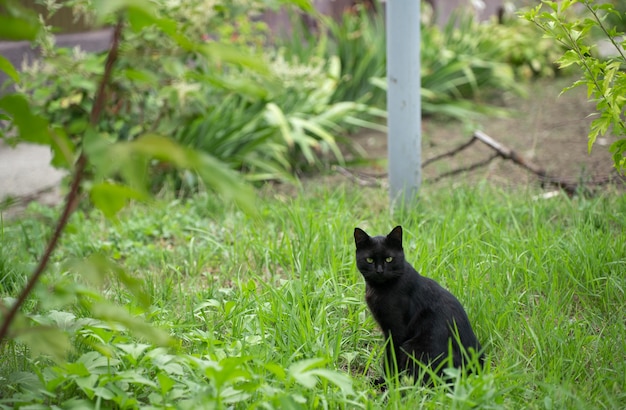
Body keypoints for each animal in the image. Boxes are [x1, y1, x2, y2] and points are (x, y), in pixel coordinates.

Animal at [352, 226, 482, 382]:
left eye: (389, 259)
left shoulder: (396, 331)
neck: (380, 289)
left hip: (413, 348)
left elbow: (391, 358)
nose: (379, 271)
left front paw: (386, 382)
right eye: (369, 260)